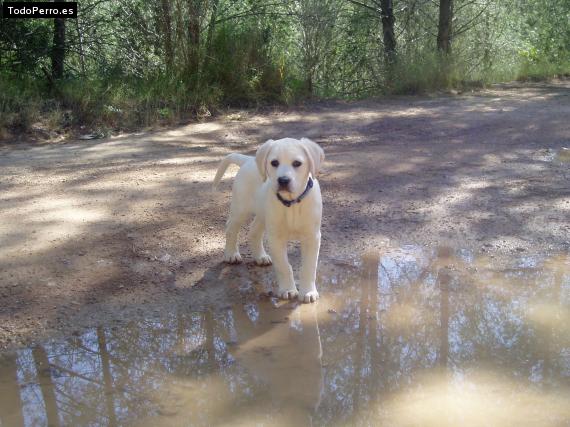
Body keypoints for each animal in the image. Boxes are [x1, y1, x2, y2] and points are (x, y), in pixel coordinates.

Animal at [211, 139, 322, 302]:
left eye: (297, 163)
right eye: (274, 163)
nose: (283, 180)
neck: (292, 203)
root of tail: (248, 160)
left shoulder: (312, 237)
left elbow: (309, 267)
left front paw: (308, 292)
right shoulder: (276, 238)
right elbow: (283, 266)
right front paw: (288, 290)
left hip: (263, 214)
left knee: (253, 231)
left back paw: (260, 256)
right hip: (240, 209)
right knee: (231, 228)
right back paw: (231, 254)